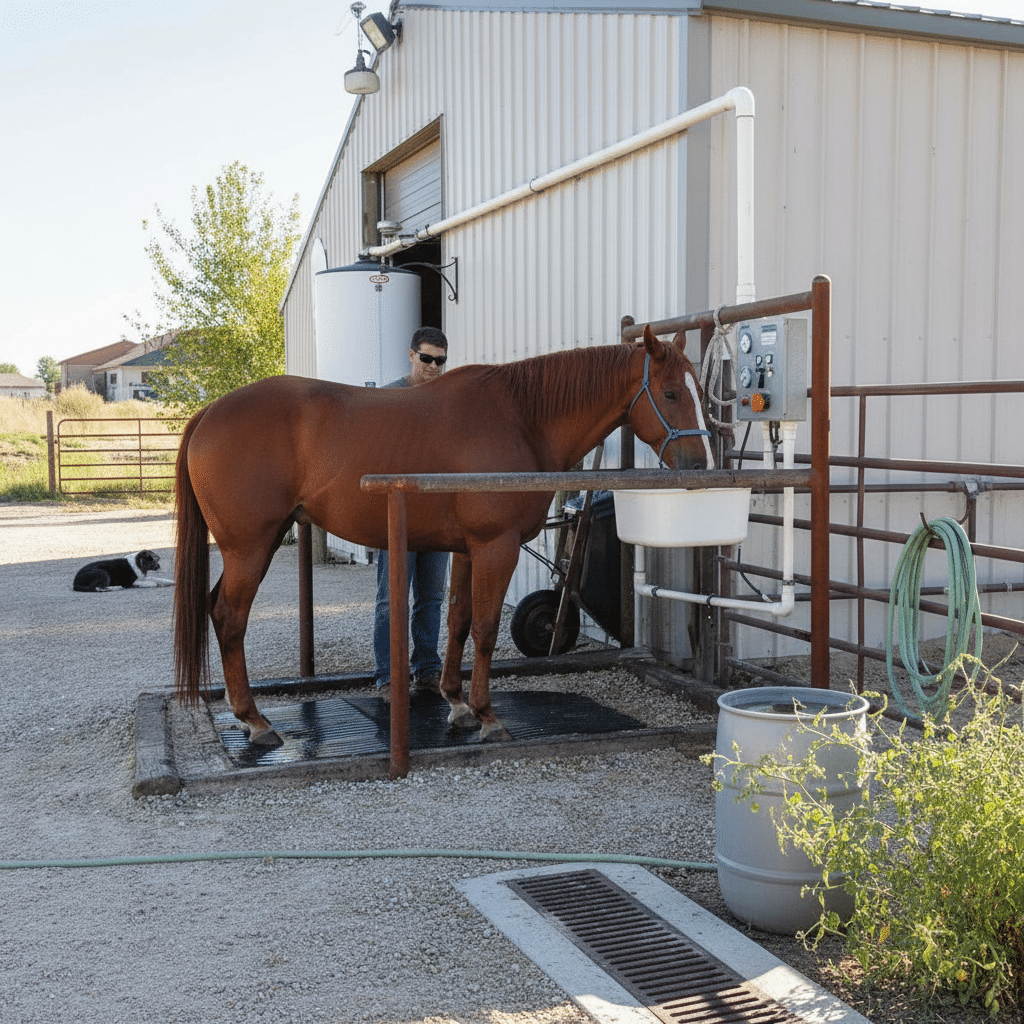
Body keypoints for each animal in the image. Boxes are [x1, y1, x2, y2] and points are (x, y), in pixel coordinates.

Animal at [173, 324, 714, 745]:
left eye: (700, 393)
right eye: (670, 393)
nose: (701, 467)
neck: (521, 417)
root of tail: (208, 413)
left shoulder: (467, 549)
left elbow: (456, 620)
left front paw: (455, 704)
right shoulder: (497, 546)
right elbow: (486, 628)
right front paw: (488, 716)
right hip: (249, 547)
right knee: (229, 617)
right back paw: (255, 721)